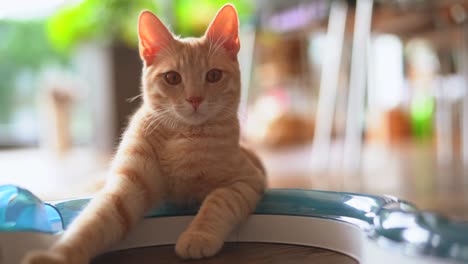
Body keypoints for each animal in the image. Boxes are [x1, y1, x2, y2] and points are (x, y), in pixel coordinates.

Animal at [22, 4, 264, 264]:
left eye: (213, 75)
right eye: (172, 77)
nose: (195, 99)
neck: (184, 136)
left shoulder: (246, 180)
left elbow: (217, 203)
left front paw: (198, 235)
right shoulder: (125, 188)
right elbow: (92, 221)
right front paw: (56, 255)